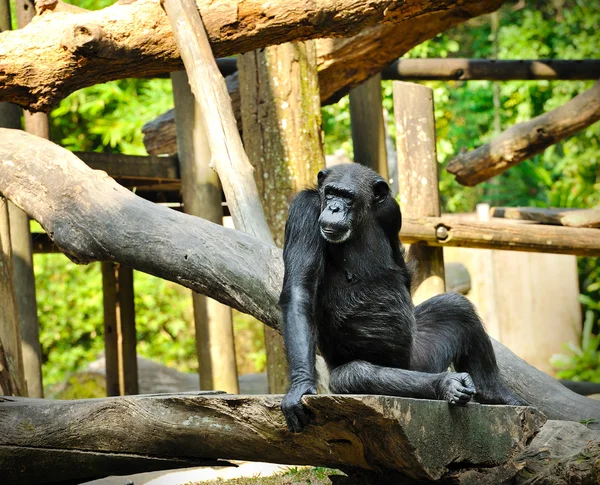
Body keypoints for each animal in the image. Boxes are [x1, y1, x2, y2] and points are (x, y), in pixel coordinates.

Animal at [278, 163, 524, 432]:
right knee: (358, 374)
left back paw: (497, 395)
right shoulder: (304, 211)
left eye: (348, 197)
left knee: (455, 306)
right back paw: (447, 384)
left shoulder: (392, 212)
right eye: (331, 193)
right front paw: (301, 385)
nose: (334, 208)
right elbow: (300, 291)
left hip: (421, 358)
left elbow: (400, 266)